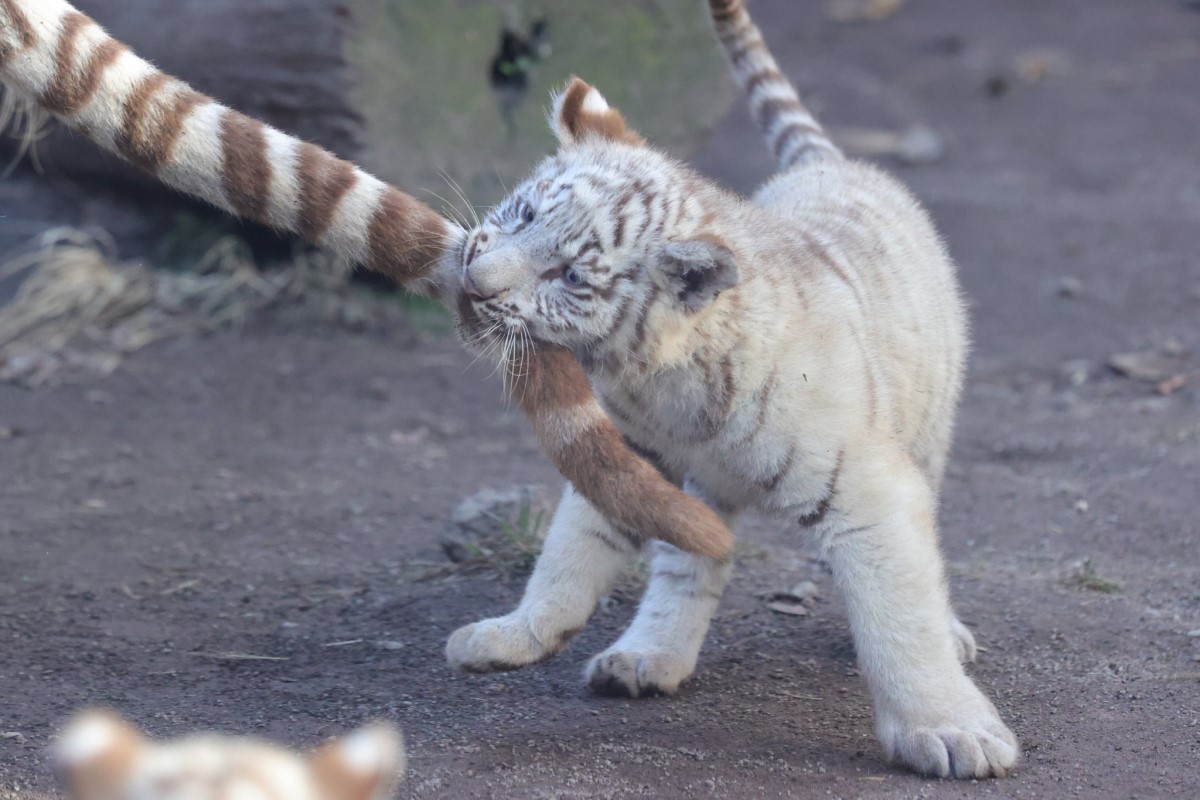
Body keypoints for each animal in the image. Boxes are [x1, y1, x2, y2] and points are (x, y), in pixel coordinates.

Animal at [443, 0, 1020, 779]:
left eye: (571, 276)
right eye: (525, 214)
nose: (474, 283)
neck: (662, 381)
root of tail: (833, 163)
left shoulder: (869, 490)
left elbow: (902, 615)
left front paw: (952, 730)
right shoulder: (632, 458)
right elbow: (570, 555)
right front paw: (514, 634)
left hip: (927, 430)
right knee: (690, 564)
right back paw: (647, 657)